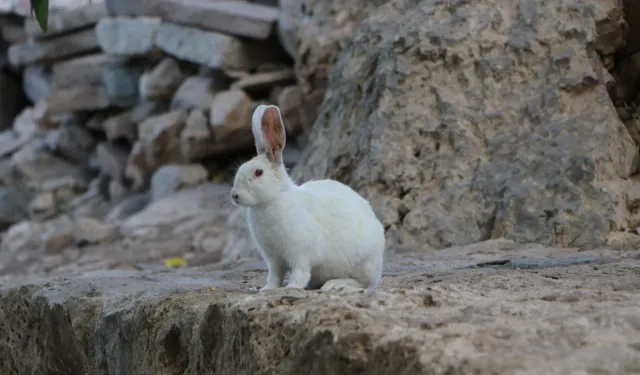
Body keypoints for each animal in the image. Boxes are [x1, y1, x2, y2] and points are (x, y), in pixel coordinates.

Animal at [230, 104, 384, 292]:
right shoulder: (274, 259)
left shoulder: (300, 253)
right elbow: (275, 275)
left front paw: (292, 287)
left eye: (259, 172)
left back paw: (334, 284)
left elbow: (300, 272)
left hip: (363, 264)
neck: (272, 200)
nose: (235, 195)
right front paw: (268, 289)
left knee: (363, 283)